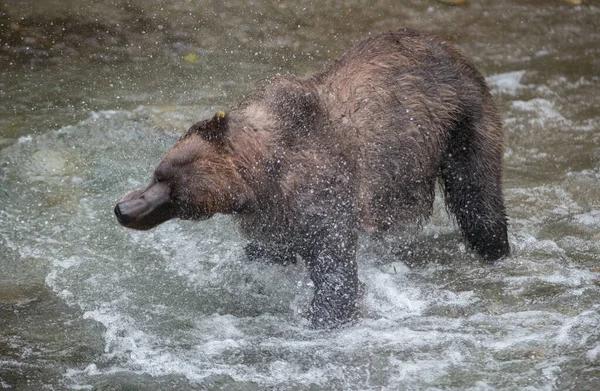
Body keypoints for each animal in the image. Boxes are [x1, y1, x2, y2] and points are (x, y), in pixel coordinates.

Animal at [115, 29, 508, 330]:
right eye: (158, 174)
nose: (124, 208)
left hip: (463, 125)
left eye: (177, 195)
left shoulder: (323, 191)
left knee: (477, 199)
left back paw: (495, 250)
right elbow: (267, 256)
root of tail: (448, 46)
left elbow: (335, 270)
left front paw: (323, 317)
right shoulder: (276, 219)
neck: (264, 179)